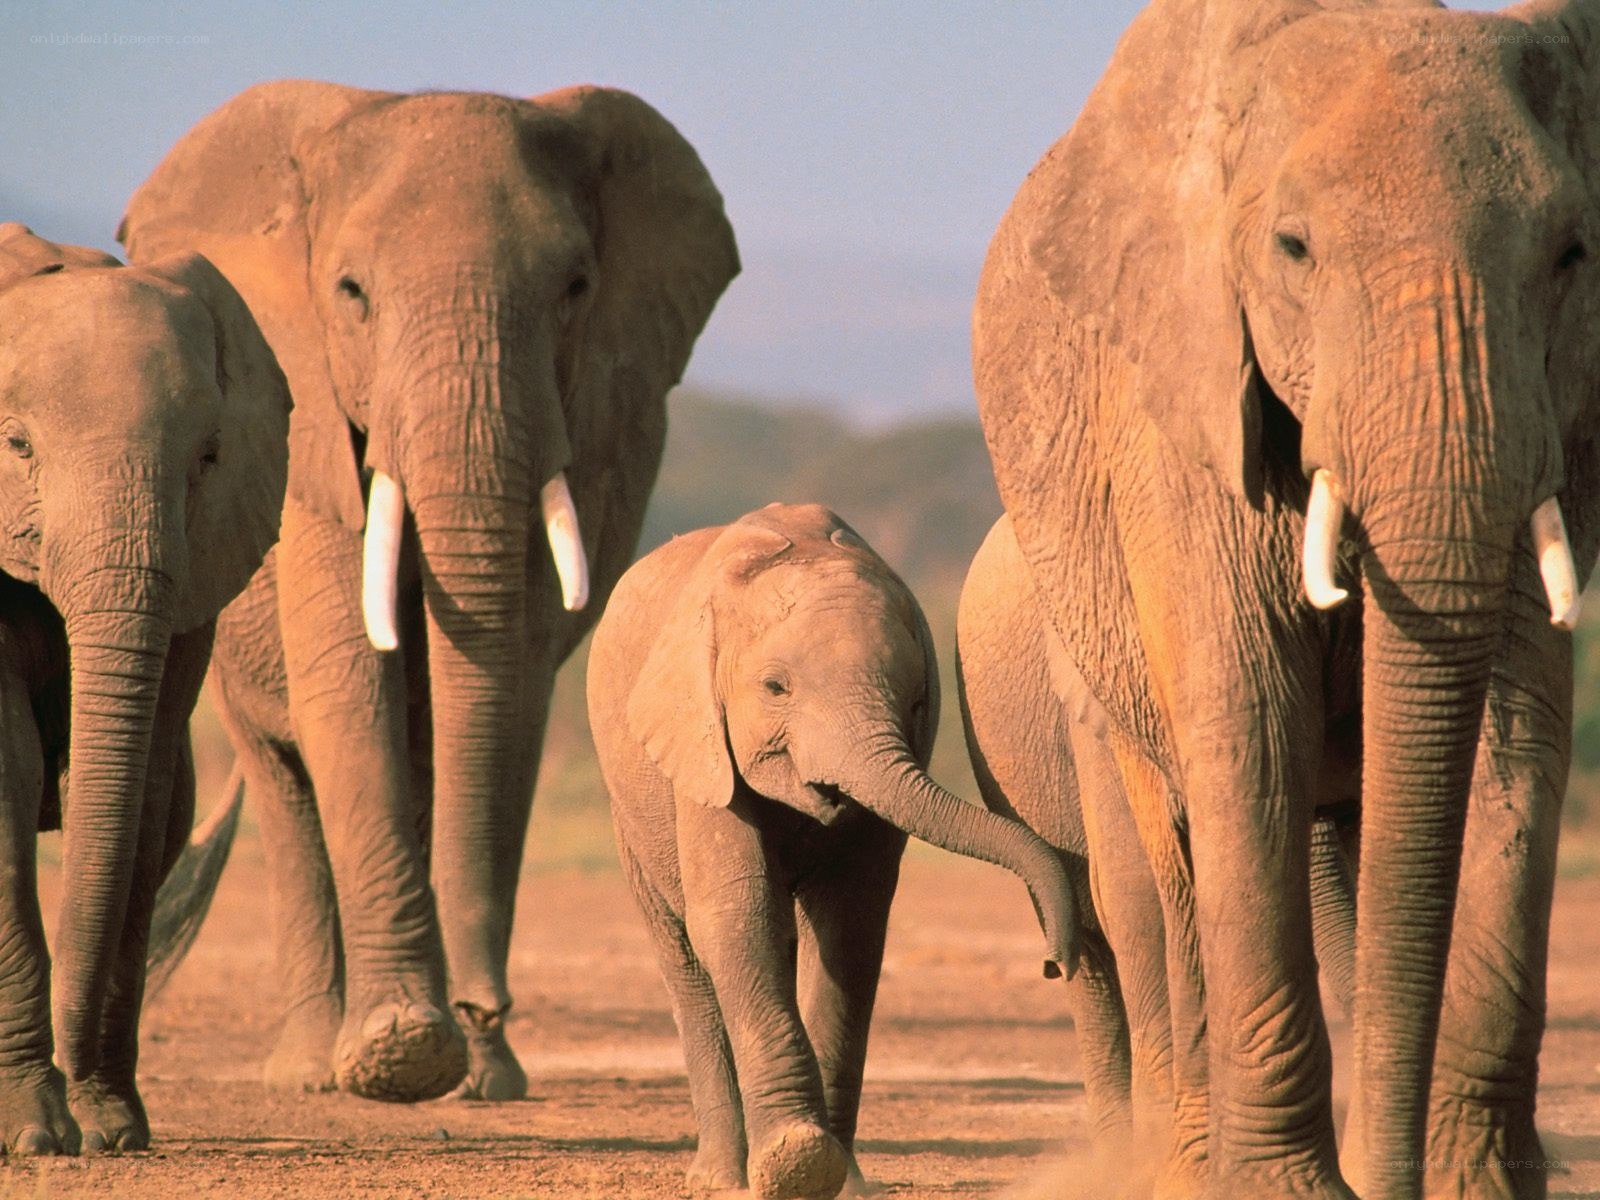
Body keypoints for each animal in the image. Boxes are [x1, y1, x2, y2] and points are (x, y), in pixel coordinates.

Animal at [0, 224, 289, 1153]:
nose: (84, 1125)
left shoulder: (206, 556)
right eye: (17, 446)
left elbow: (151, 794)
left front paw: (108, 1127)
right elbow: (8, 776)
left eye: (207, 457)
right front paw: (38, 1135)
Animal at [119, 81, 739, 1102]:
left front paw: (475, 1069)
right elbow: (345, 679)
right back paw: (311, 1070)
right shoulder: (308, 423)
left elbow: (511, 688)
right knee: (285, 785)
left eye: (575, 289)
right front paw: (400, 1054)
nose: (486, 1005)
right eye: (351, 294)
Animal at [586, 503, 1080, 1200]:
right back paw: (719, 1178)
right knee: (684, 958)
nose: (1053, 964)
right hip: (628, 809)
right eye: (775, 688)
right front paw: (795, 1161)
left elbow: (851, 926)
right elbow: (738, 919)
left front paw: (834, 1179)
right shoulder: (701, 747)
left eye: (917, 699)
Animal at [972, 1, 1600, 1197]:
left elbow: (1514, 739)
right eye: (1293, 250)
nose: (1391, 1183)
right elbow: (1249, 717)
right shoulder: (1179, 403)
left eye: (1570, 255)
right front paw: (1285, 1188)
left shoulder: (1568, 417)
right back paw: (1181, 1163)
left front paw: (1476, 1183)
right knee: (1164, 866)